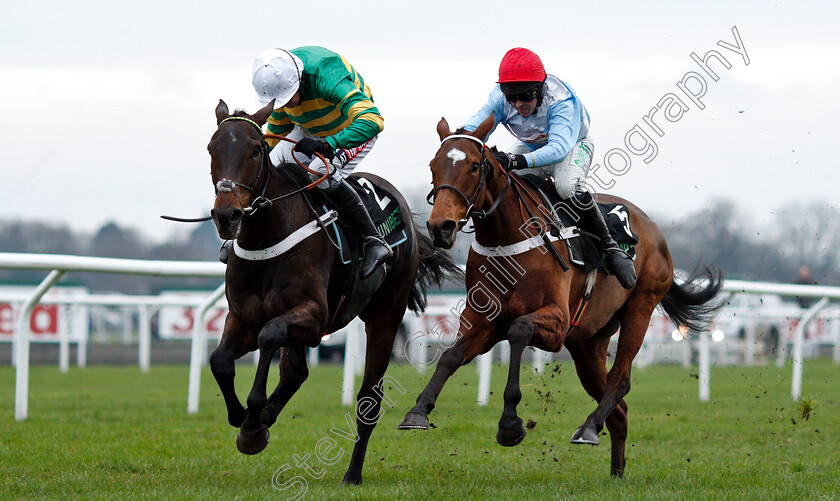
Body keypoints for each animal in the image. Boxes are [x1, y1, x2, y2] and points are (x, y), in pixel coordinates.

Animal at [206, 99, 462, 482]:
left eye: (254, 150)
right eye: (212, 149)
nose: (227, 216)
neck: (267, 240)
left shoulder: (314, 317)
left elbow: (270, 334)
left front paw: (252, 422)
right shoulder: (242, 316)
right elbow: (220, 359)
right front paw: (246, 421)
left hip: (386, 316)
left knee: (369, 399)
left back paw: (352, 474)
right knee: (296, 371)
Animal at [398, 116, 720, 476]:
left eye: (474, 166)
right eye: (433, 166)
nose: (441, 227)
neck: (508, 238)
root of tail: (652, 227)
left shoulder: (556, 320)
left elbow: (519, 330)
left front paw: (510, 424)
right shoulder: (484, 320)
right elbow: (451, 356)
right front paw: (418, 411)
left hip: (640, 307)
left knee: (621, 380)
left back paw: (588, 428)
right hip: (588, 342)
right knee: (618, 409)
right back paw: (615, 470)